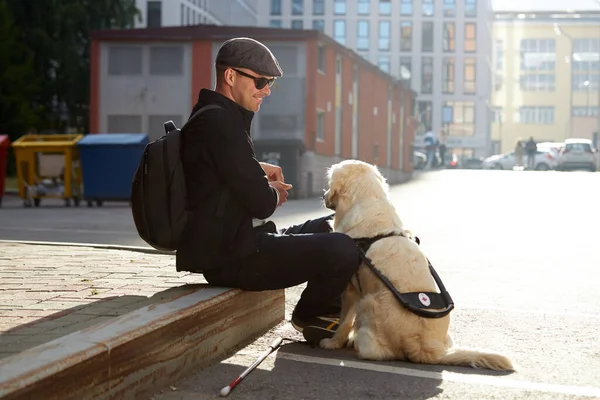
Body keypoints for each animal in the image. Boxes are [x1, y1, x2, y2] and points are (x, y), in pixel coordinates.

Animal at [322, 159, 512, 372]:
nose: (322, 195)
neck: (367, 200)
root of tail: (430, 351)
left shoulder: (351, 289)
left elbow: (344, 322)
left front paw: (332, 343)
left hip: (368, 303)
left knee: (374, 350)